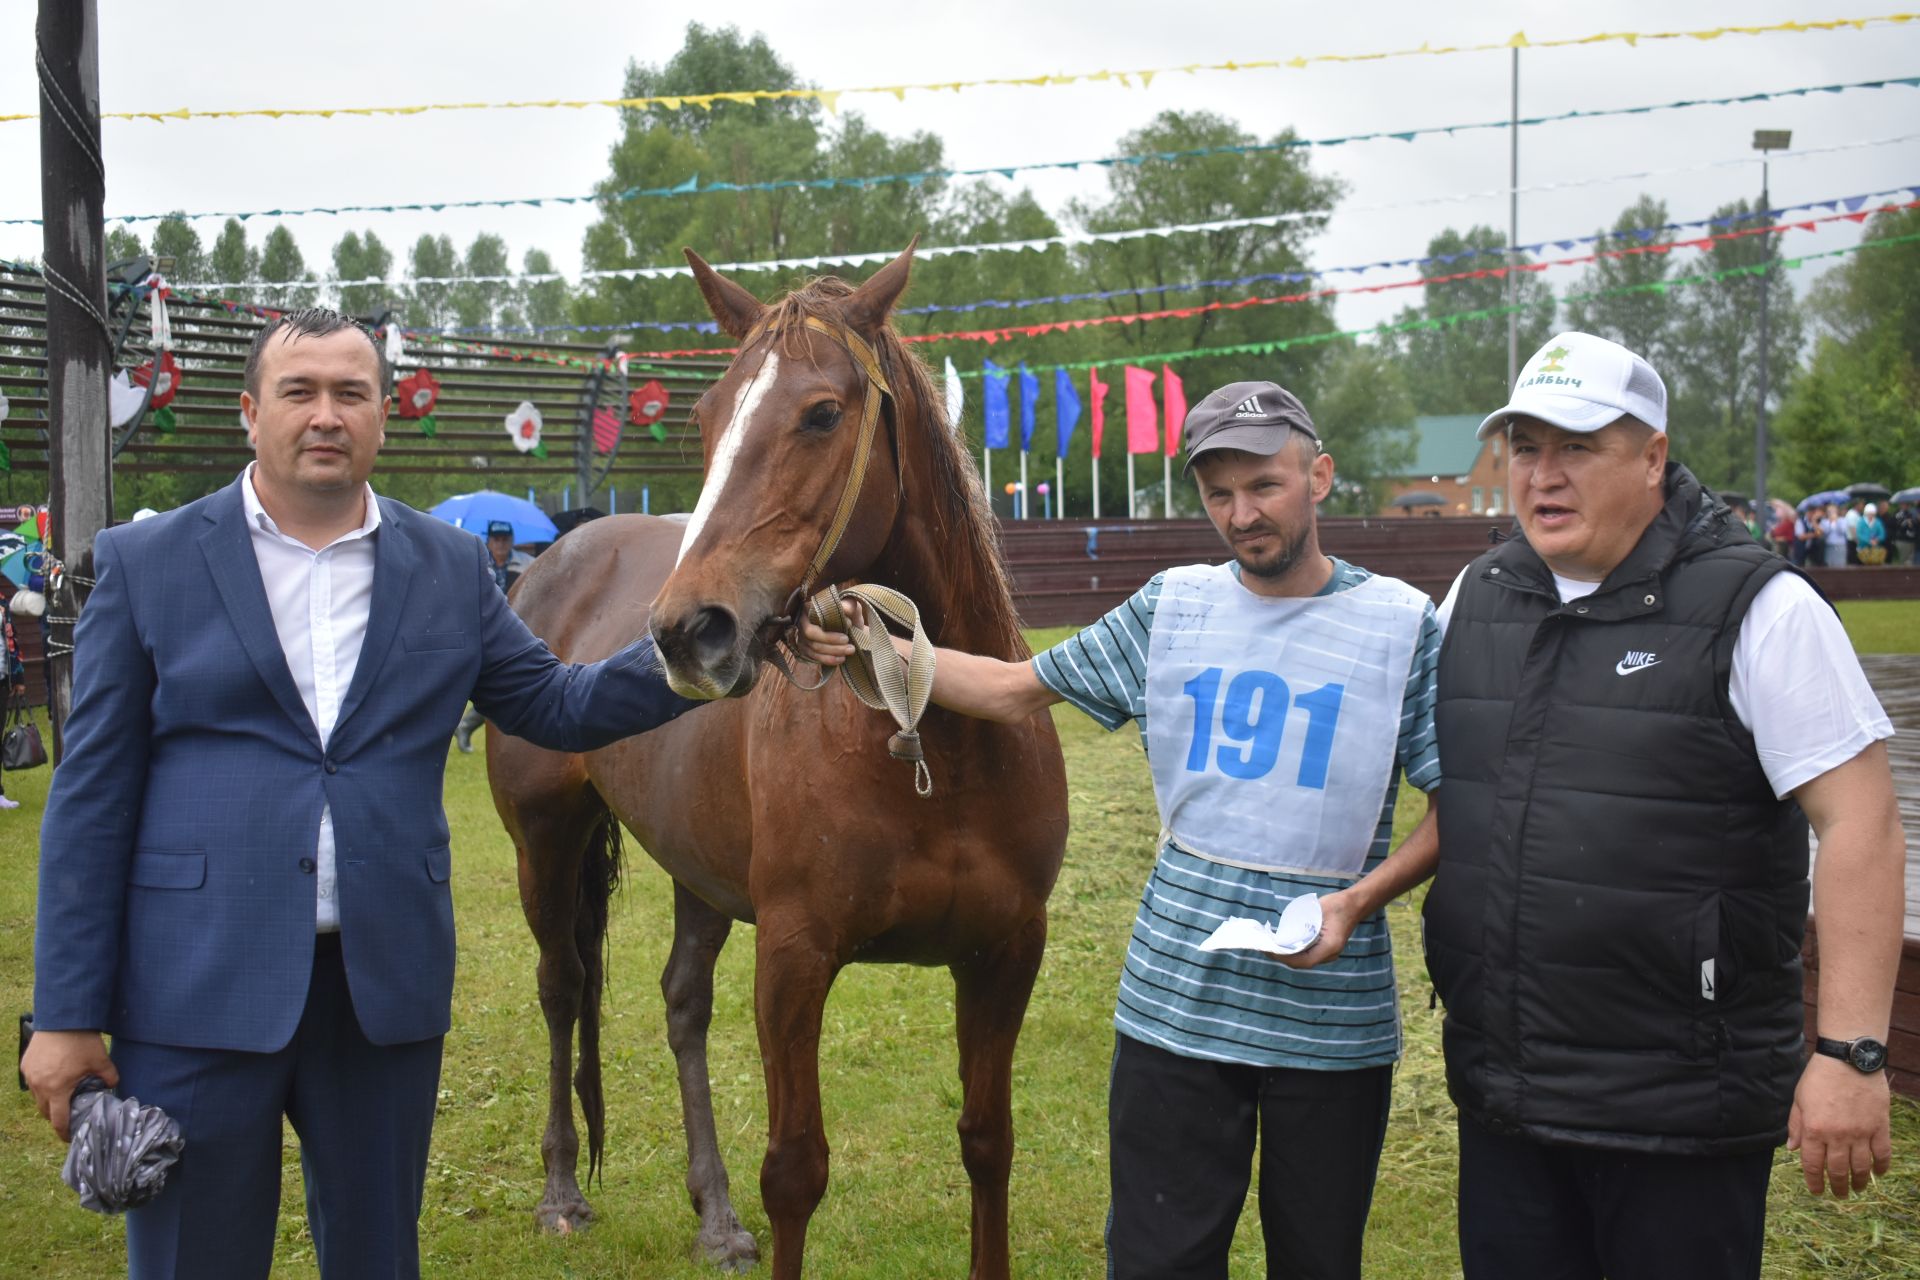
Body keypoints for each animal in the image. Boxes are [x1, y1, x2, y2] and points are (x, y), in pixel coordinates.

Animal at [487, 242, 1075, 1280]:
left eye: (823, 413)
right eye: (707, 418)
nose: (689, 632)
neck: (935, 749)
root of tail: (555, 558)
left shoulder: (1005, 954)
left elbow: (988, 1143)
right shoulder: (796, 958)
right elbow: (796, 1169)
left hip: (697, 870)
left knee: (682, 1006)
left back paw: (714, 1215)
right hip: (544, 843)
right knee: (562, 989)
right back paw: (561, 1193)